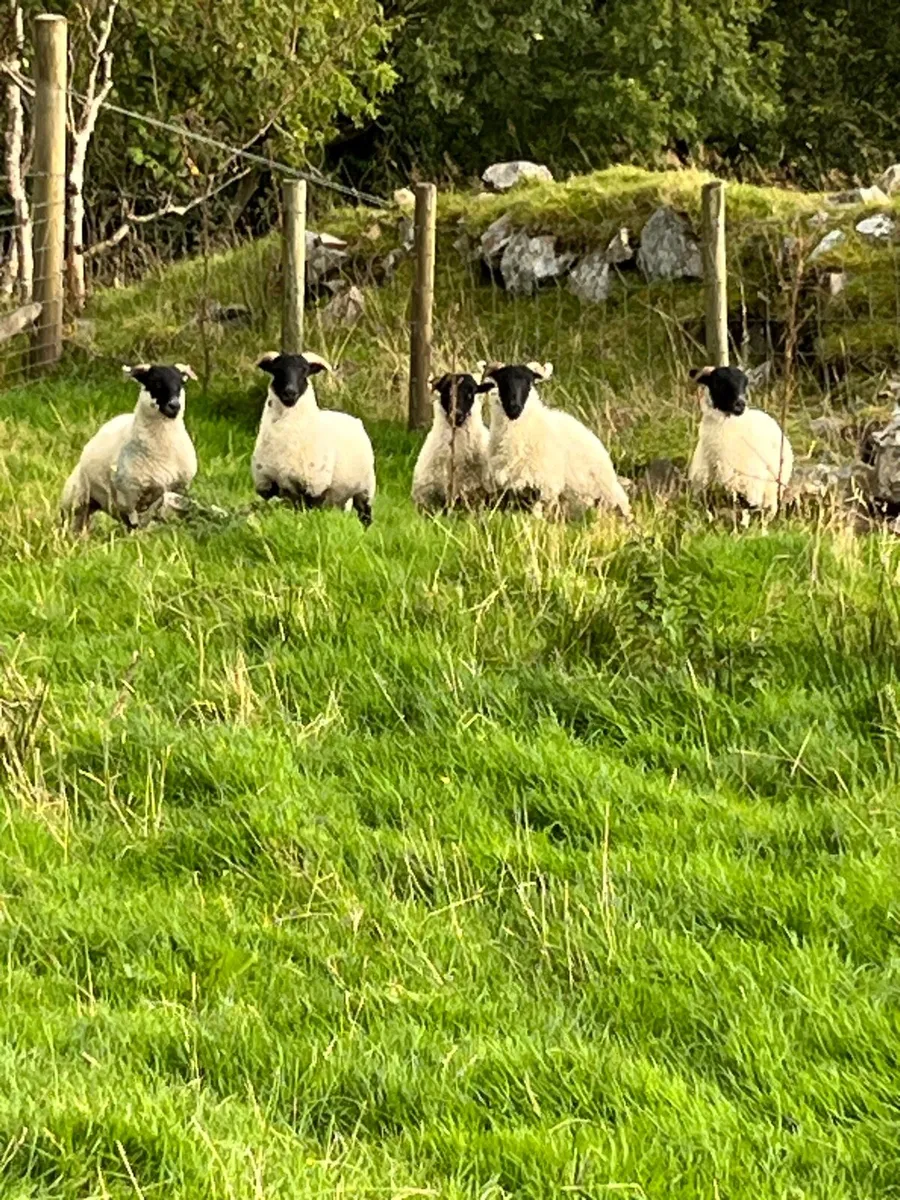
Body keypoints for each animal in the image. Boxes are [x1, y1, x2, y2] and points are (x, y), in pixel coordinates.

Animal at [60, 363, 198, 533]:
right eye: (156, 383)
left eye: (181, 384)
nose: (175, 406)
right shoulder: (127, 495)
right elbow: (134, 524)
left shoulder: (165, 493)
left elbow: (145, 520)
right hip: (76, 499)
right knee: (73, 521)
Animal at [252, 351, 376, 526]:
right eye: (277, 370)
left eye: (304, 371)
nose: (290, 392)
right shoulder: (268, 485)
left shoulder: (314, 487)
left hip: (365, 489)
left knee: (365, 517)